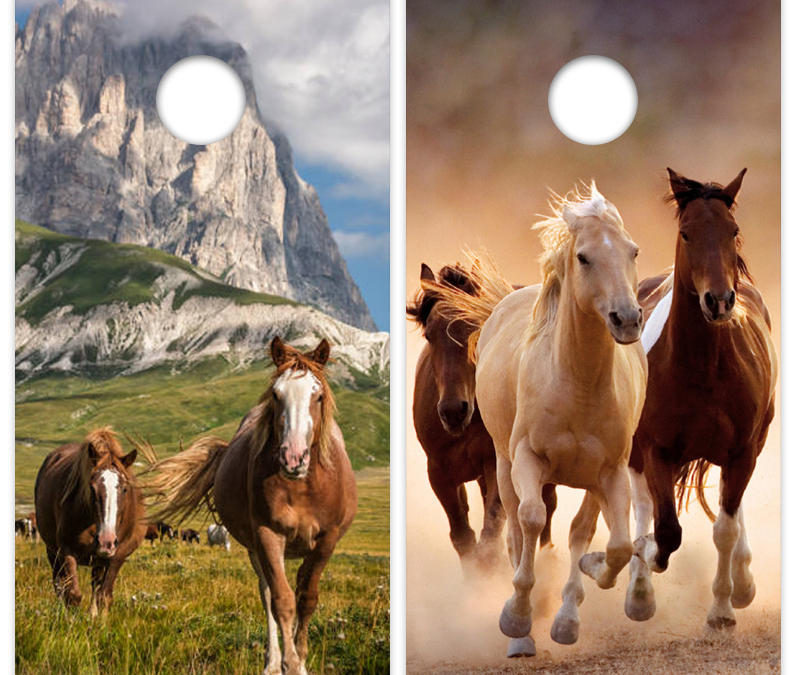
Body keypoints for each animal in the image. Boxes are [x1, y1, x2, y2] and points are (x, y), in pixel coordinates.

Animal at [34, 427, 148, 615]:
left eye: (125, 489)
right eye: (92, 488)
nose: (106, 541)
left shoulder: (118, 554)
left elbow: (105, 596)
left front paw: (99, 620)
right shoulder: (67, 550)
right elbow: (72, 595)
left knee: (96, 584)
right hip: (52, 551)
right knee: (59, 584)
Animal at [146, 336, 357, 675]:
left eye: (319, 395)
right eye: (276, 394)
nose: (293, 457)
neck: (304, 487)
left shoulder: (327, 540)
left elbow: (307, 599)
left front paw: (301, 660)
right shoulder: (267, 534)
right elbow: (281, 601)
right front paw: (288, 663)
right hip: (255, 548)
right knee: (268, 593)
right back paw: (272, 661)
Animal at [407, 262, 557, 572]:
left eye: (475, 328)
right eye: (429, 335)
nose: (454, 410)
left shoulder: (496, 462)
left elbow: (489, 538)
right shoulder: (439, 472)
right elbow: (463, 538)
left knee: (547, 506)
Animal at [438, 183, 647, 656]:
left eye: (633, 251)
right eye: (584, 257)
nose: (627, 320)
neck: (578, 386)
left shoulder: (610, 472)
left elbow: (614, 544)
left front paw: (584, 583)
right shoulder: (527, 460)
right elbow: (530, 521)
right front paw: (516, 618)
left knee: (577, 530)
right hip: (502, 465)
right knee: (516, 529)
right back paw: (522, 633)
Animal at [625, 168, 778, 629]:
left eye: (733, 231)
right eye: (686, 233)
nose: (720, 300)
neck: (702, 368)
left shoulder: (742, 450)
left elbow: (725, 528)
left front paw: (723, 608)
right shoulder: (656, 450)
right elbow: (665, 531)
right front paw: (646, 563)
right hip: (636, 450)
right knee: (642, 504)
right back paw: (638, 590)